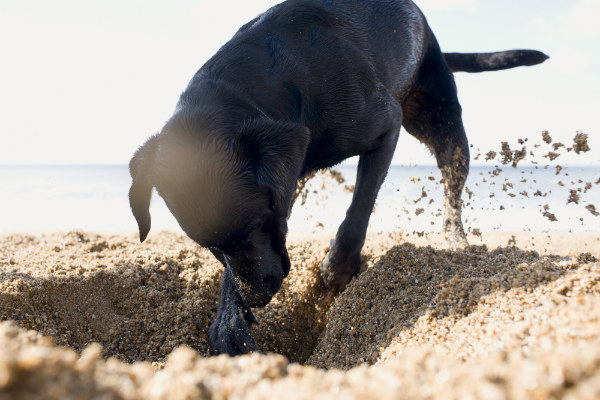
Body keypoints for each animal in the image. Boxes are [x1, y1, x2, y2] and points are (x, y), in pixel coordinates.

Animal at [129, 0, 548, 356]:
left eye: (256, 223)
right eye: (208, 247)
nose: (258, 299)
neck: (266, 84)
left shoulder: (384, 127)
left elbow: (357, 213)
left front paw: (337, 269)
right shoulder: (287, 178)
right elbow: (231, 273)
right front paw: (230, 321)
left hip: (441, 117)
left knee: (452, 181)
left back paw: (455, 239)